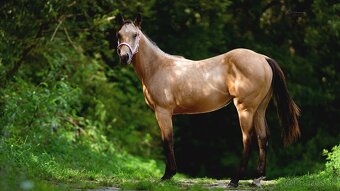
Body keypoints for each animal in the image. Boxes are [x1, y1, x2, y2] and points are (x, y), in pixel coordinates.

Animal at [115, 14, 300, 187]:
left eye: (135, 34)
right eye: (119, 34)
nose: (124, 57)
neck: (158, 67)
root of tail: (263, 59)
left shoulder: (163, 112)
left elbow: (168, 140)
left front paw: (168, 175)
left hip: (245, 109)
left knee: (248, 139)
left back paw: (234, 180)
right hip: (259, 109)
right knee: (263, 138)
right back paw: (257, 178)